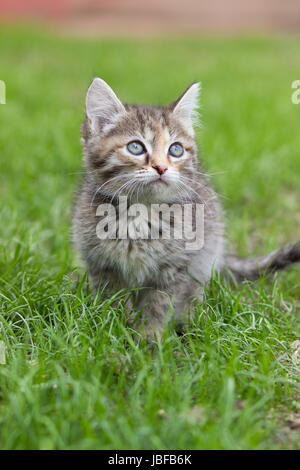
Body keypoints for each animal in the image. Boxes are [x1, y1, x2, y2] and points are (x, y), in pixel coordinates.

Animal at [72, 79, 300, 340]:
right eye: (136, 147)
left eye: (176, 150)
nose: (161, 167)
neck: (142, 212)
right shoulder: (103, 265)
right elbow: (114, 301)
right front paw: (115, 333)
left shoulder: (175, 267)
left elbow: (158, 305)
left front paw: (149, 338)